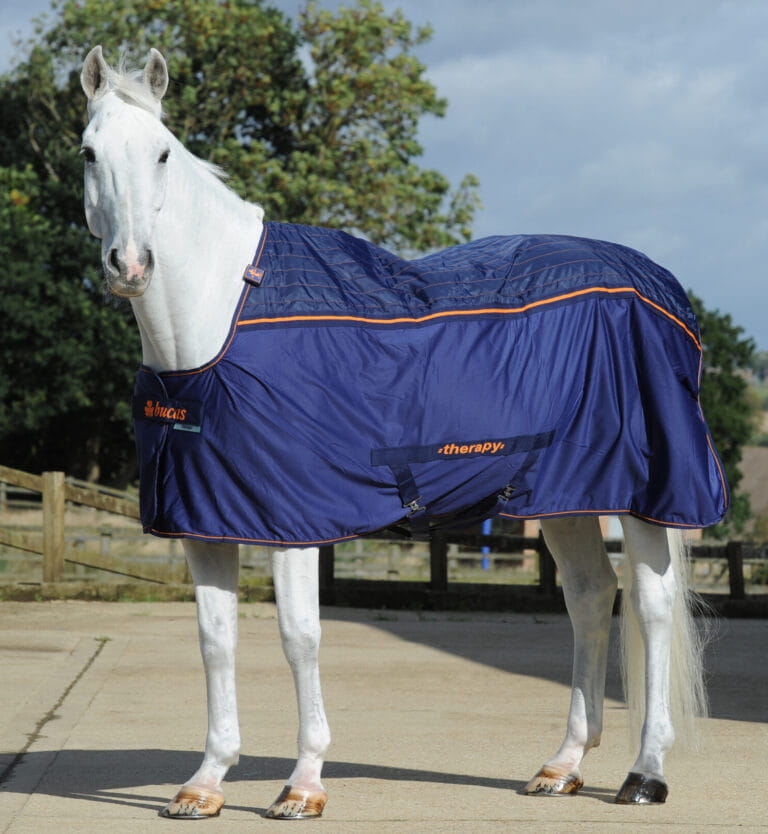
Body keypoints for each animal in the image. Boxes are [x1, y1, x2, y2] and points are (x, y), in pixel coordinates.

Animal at [80, 45, 721, 819]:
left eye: (164, 153)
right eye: (88, 153)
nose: (131, 265)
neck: (223, 315)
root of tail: (660, 285)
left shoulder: (293, 522)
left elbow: (300, 638)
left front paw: (303, 784)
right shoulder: (204, 519)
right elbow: (215, 641)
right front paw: (205, 783)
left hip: (646, 493)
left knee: (651, 608)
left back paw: (645, 773)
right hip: (560, 494)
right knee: (592, 597)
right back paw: (562, 766)